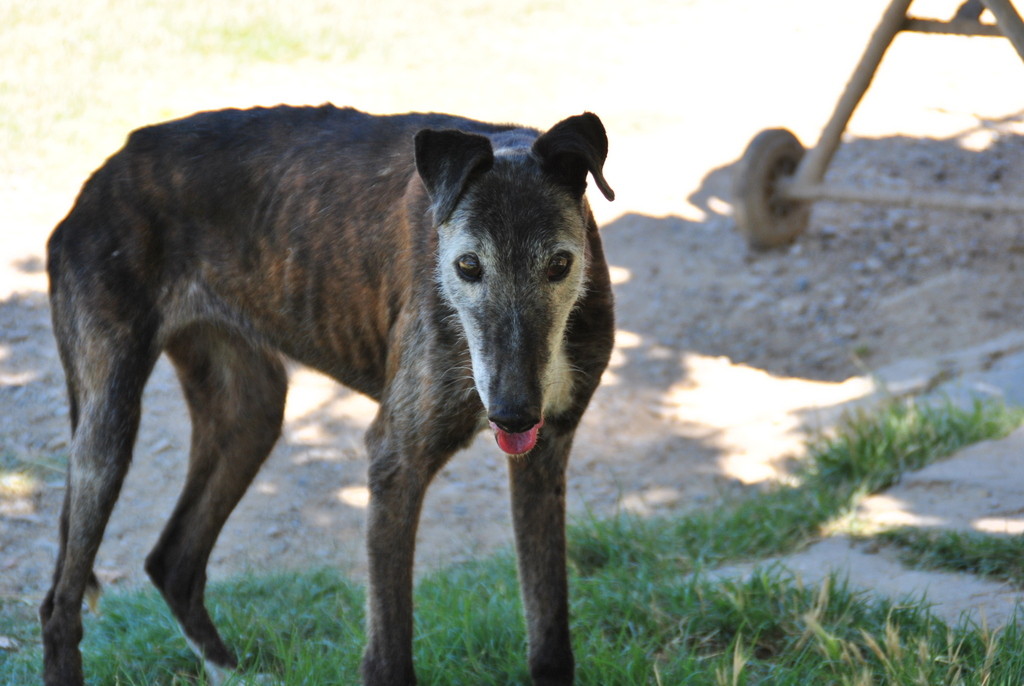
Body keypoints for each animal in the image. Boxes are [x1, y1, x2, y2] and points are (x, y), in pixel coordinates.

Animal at [37, 103, 614, 686]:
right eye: (468, 265)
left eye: (560, 264)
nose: (514, 415)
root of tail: (102, 177)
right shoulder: (396, 462)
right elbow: (388, 656)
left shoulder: (544, 456)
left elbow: (549, 631)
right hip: (106, 432)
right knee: (59, 605)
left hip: (249, 416)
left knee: (173, 561)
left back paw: (230, 670)